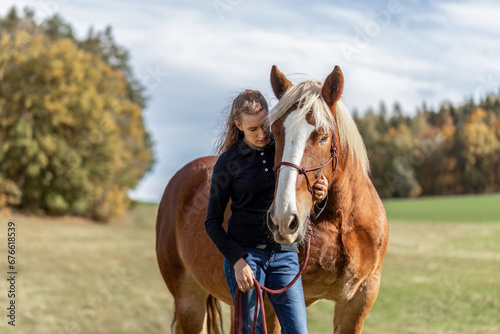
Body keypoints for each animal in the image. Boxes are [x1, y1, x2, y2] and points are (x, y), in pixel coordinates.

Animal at [154, 65, 388, 334]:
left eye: (323, 136)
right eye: (274, 132)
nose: (284, 220)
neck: (340, 222)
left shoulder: (359, 299)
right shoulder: (270, 300)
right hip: (189, 300)